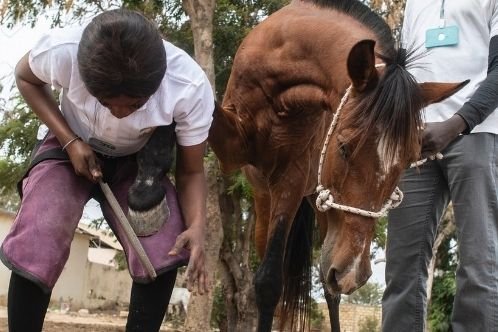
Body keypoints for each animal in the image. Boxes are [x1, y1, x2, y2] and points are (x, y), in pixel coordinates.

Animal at [208, 1, 464, 330]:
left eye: (408, 160)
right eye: (344, 147)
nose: (352, 274)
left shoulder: (291, 179)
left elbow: (270, 282)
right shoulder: (236, 152)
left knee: (329, 290)